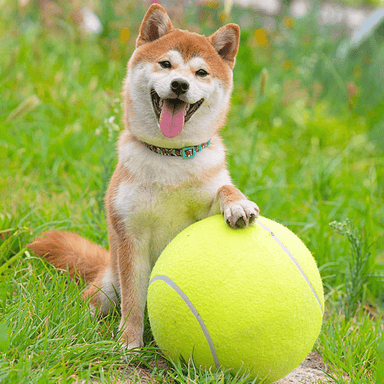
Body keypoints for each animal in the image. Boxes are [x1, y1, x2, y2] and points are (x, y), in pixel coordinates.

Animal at [29, 3, 258, 352]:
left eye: (201, 73)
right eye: (165, 64)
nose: (179, 85)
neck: (170, 158)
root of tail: (105, 262)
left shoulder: (204, 207)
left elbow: (224, 188)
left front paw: (238, 205)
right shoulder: (130, 236)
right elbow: (134, 301)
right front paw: (128, 343)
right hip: (109, 283)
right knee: (95, 302)